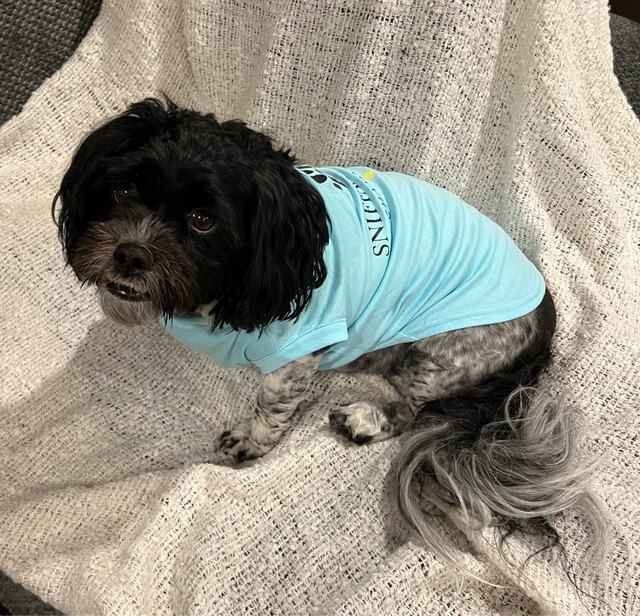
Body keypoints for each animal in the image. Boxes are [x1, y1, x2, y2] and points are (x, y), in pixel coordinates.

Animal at [54, 98, 601, 568]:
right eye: (124, 190)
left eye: (203, 220)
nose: (130, 254)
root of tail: (544, 328)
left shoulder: (295, 353)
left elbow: (269, 407)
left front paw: (249, 442)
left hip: (443, 351)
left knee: (412, 412)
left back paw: (366, 418)